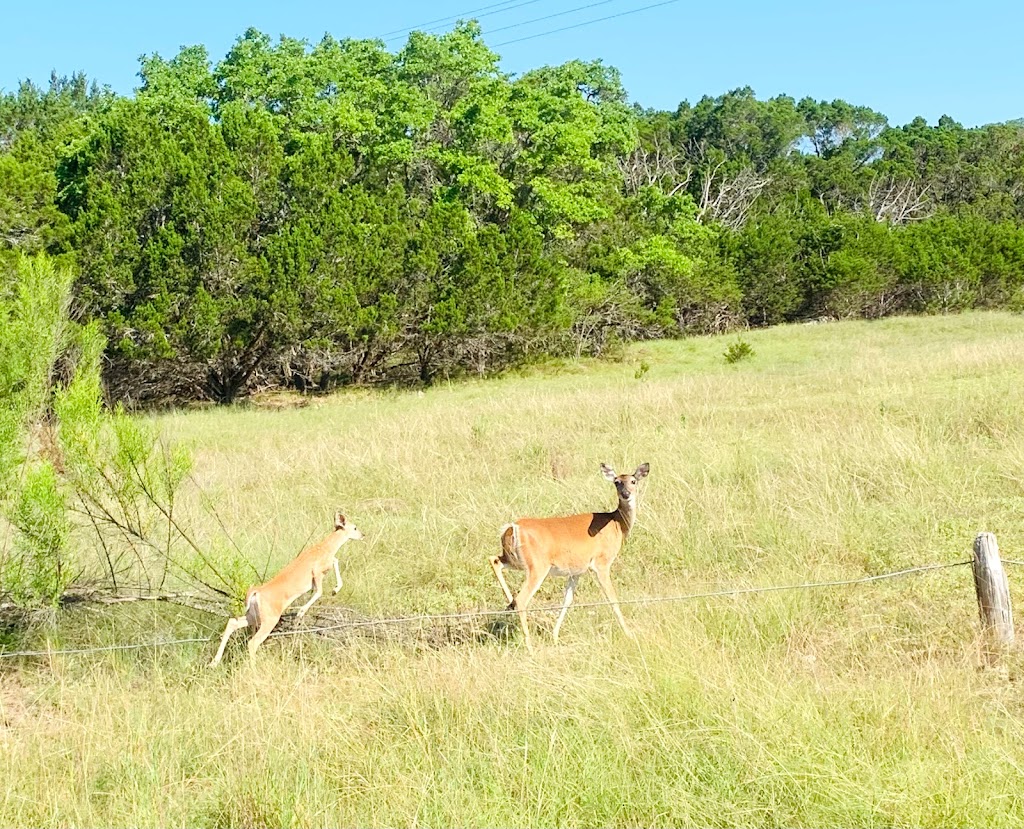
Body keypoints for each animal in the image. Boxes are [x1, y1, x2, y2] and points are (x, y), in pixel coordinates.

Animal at [207, 509, 364, 667]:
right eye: (355, 527)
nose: (363, 535)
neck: (325, 547)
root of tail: (256, 593)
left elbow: (333, 565)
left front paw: (334, 590)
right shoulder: (317, 571)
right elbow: (322, 586)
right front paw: (304, 610)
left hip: (254, 615)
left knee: (233, 622)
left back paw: (214, 662)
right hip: (270, 618)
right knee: (253, 643)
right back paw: (253, 668)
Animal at [491, 462, 651, 650]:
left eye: (633, 481)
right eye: (616, 482)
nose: (626, 494)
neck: (617, 524)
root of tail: (513, 527)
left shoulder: (576, 571)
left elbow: (567, 599)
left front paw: (554, 635)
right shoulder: (601, 563)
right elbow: (612, 598)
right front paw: (629, 633)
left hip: (515, 560)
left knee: (494, 560)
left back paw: (510, 602)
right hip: (537, 565)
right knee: (522, 598)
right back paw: (529, 645)